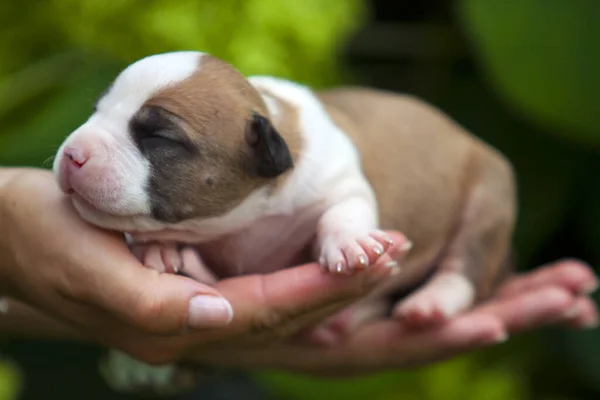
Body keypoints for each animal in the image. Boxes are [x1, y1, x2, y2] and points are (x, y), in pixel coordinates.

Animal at [52, 51, 516, 392]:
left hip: (488, 196)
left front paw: (349, 242)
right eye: (96, 110)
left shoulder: (341, 181)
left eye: (158, 137)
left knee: (467, 265)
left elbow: (344, 209)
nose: (73, 153)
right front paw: (160, 248)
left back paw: (431, 301)